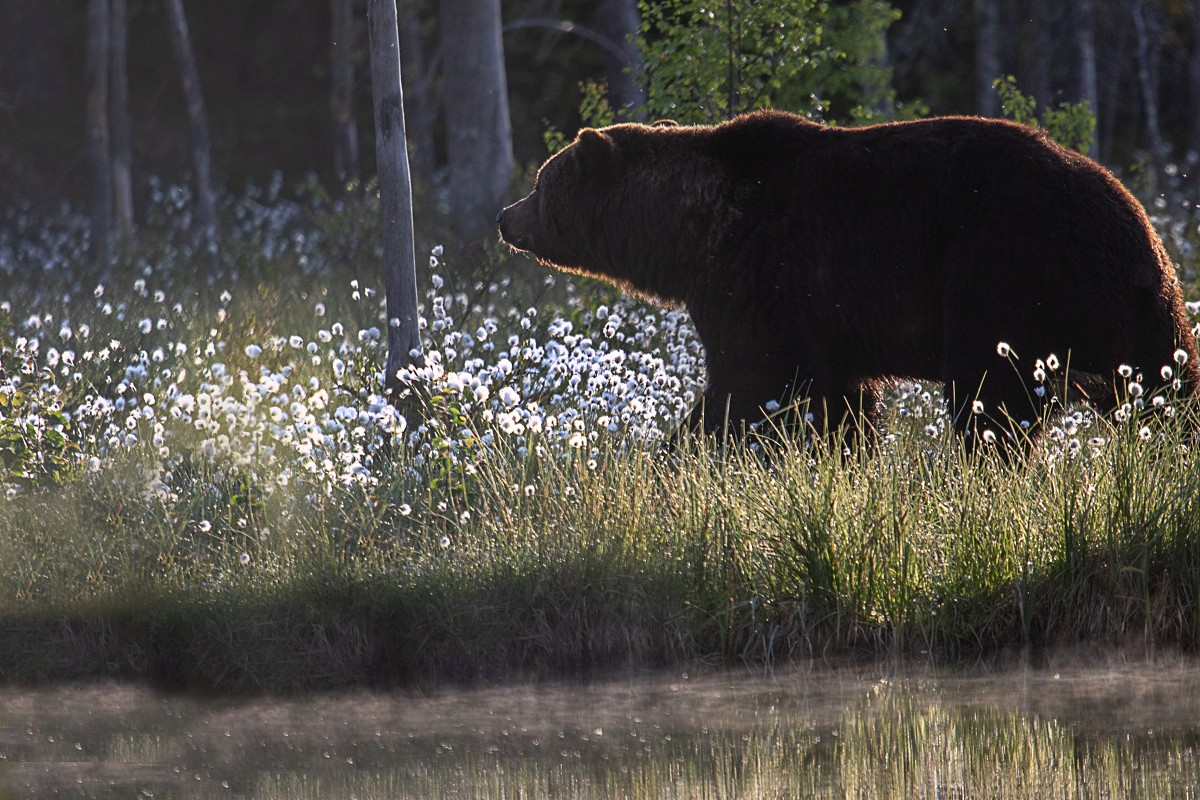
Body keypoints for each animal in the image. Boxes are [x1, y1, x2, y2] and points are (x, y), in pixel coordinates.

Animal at [496, 110, 1200, 450]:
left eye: (542, 183)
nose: (506, 216)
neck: (690, 235)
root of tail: (1141, 229)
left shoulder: (761, 279)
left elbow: (748, 385)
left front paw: (681, 453)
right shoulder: (824, 322)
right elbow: (838, 402)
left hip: (1006, 275)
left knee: (990, 396)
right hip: (1141, 316)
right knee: (1170, 386)